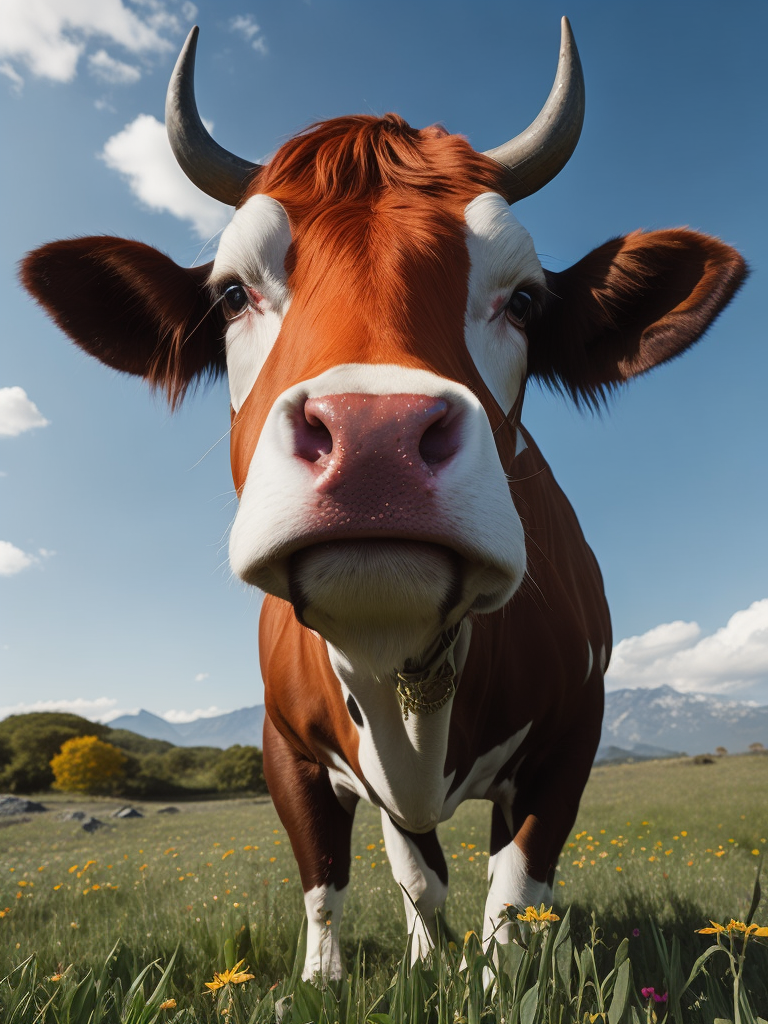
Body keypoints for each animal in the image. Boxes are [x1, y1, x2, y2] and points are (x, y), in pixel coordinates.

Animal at [21, 19, 746, 982]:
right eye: (230, 293)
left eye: (524, 299)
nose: (375, 441)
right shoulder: (286, 748)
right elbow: (350, 877)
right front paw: (339, 978)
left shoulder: (574, 733)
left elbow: (514, 889)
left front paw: (495, 982)